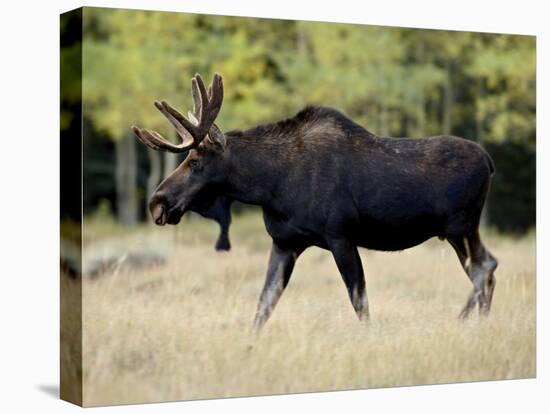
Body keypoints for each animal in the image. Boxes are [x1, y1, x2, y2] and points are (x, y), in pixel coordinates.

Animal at [134, 72, 500, 330]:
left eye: (195, 161)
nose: (157, 202)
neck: (270, 186)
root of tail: (489, 161)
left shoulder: (341, 236)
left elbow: (359, 301)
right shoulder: (285, 243)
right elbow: (263, 305)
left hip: (460, 226)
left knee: (485, 267)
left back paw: (462, 320)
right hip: (459, 230)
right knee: (486, 268)